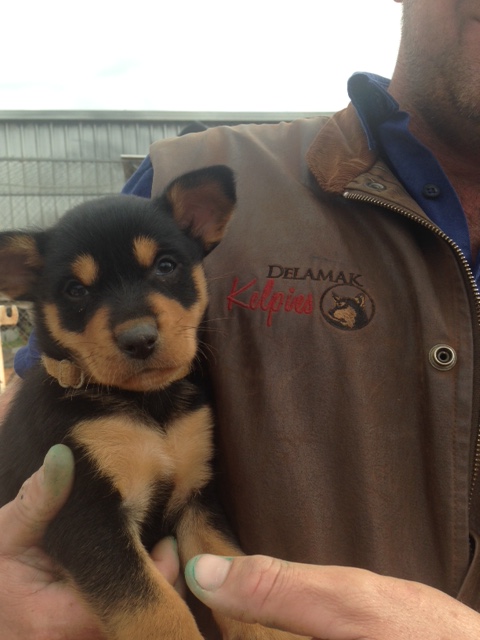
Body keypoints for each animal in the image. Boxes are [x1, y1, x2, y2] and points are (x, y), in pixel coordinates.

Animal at [0, 169, 302, 640]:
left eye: (165, 266)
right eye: (75, 290)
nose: (139, 339)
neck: (149, 405)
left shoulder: (196, 497)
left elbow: (229, 572)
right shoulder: (87, 513)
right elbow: (155, 610)